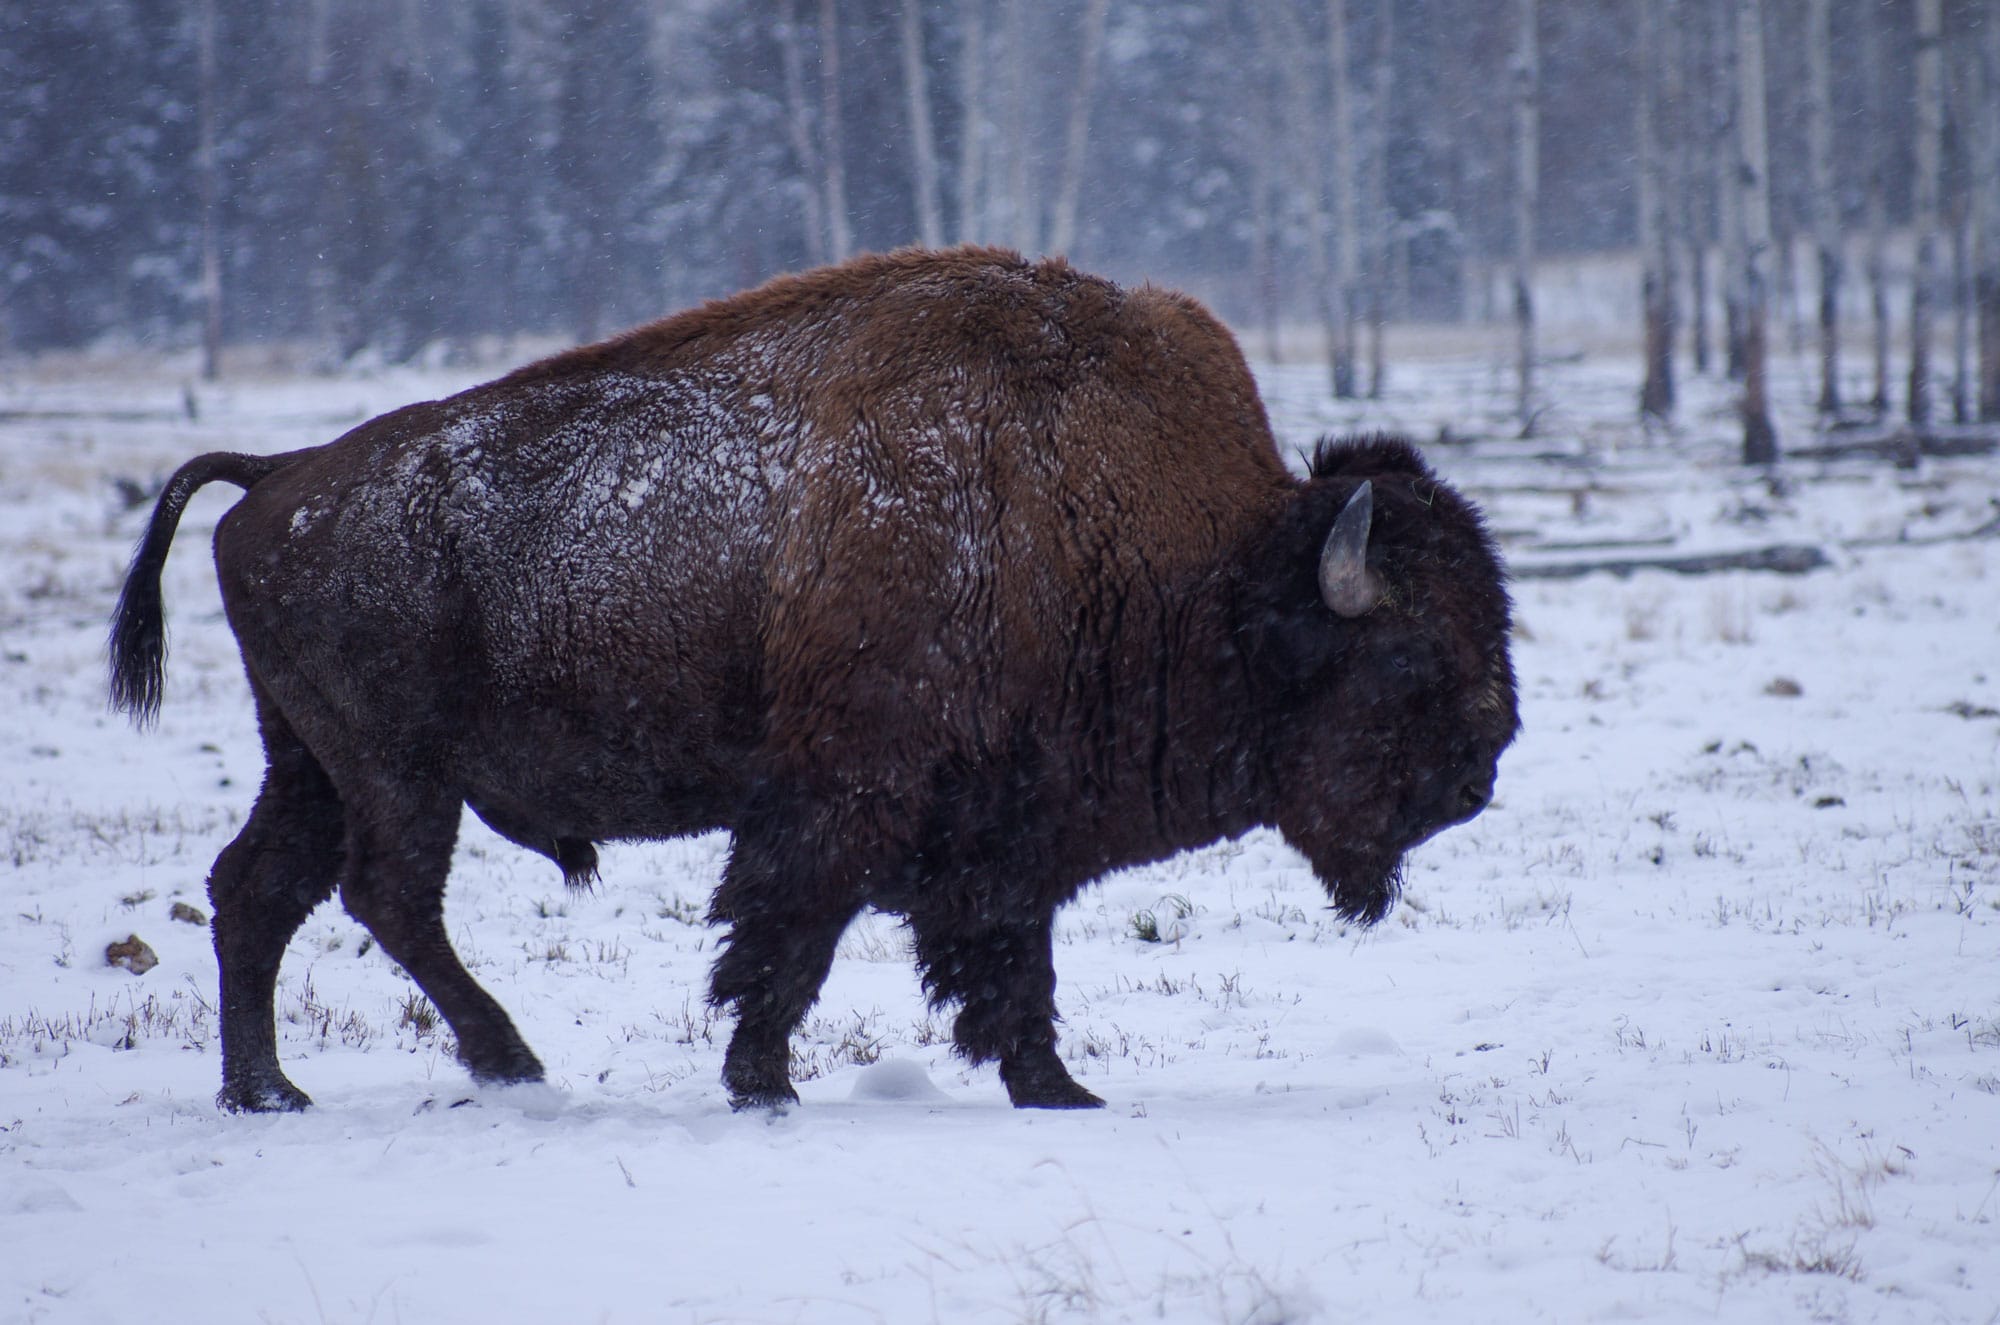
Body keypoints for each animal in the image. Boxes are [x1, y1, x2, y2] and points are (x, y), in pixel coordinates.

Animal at [109, 246, 1512, 1112]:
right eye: (1405, 654)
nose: (1479, 770)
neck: (1196, 563)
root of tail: (278, 476)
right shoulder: (845, 795)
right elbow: (789, 935)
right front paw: (762, 1079)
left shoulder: (1002, 831)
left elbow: (1004, 959)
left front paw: (1056, 1086)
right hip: (398, 770)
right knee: (384, 893)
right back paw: (507, 1059)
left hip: (308, 758)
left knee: (258, 887)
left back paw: (268, 1090)